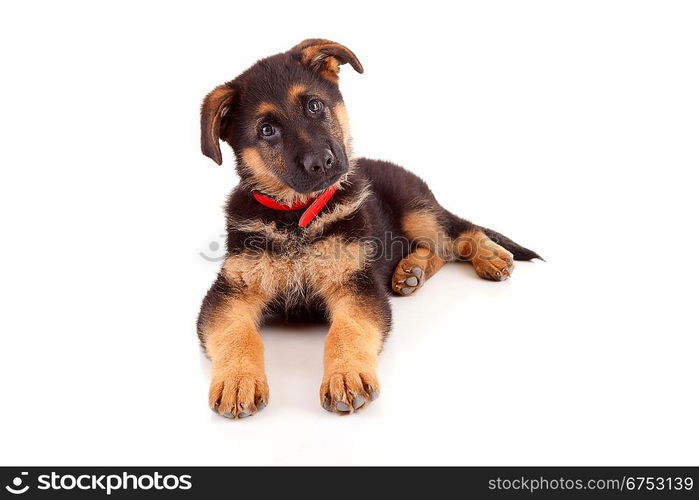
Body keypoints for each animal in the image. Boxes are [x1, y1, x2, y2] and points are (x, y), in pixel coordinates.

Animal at [197, 39, 540, 418]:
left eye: (314, 105)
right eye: (266, 130)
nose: (322, 162)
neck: (298, 217)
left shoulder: (356, 283)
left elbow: (348, 330)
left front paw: (346, 376)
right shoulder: (231, 293)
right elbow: (236, 334)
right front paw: (237, 380)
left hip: (416, 209)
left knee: (458, 233)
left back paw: (488, 256)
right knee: (440, 250)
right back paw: (411, 271)